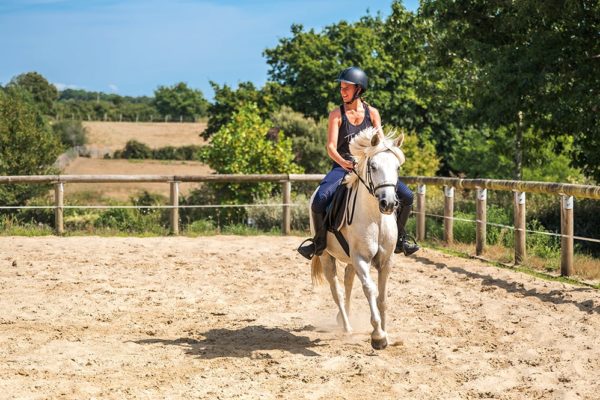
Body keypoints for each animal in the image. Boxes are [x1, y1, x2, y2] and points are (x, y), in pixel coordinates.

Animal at [310, 126, 404, 348]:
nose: (388, 204)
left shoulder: (386, 261)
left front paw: (387, 334)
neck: (376, 218)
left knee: (348, 282)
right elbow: (370, 290)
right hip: (327, 256)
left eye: (397, 167)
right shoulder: (361, 259)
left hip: (350, 259)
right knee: (337, 289)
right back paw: (346, 327)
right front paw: (378, 336)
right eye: (373, 166)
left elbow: (382, 298)